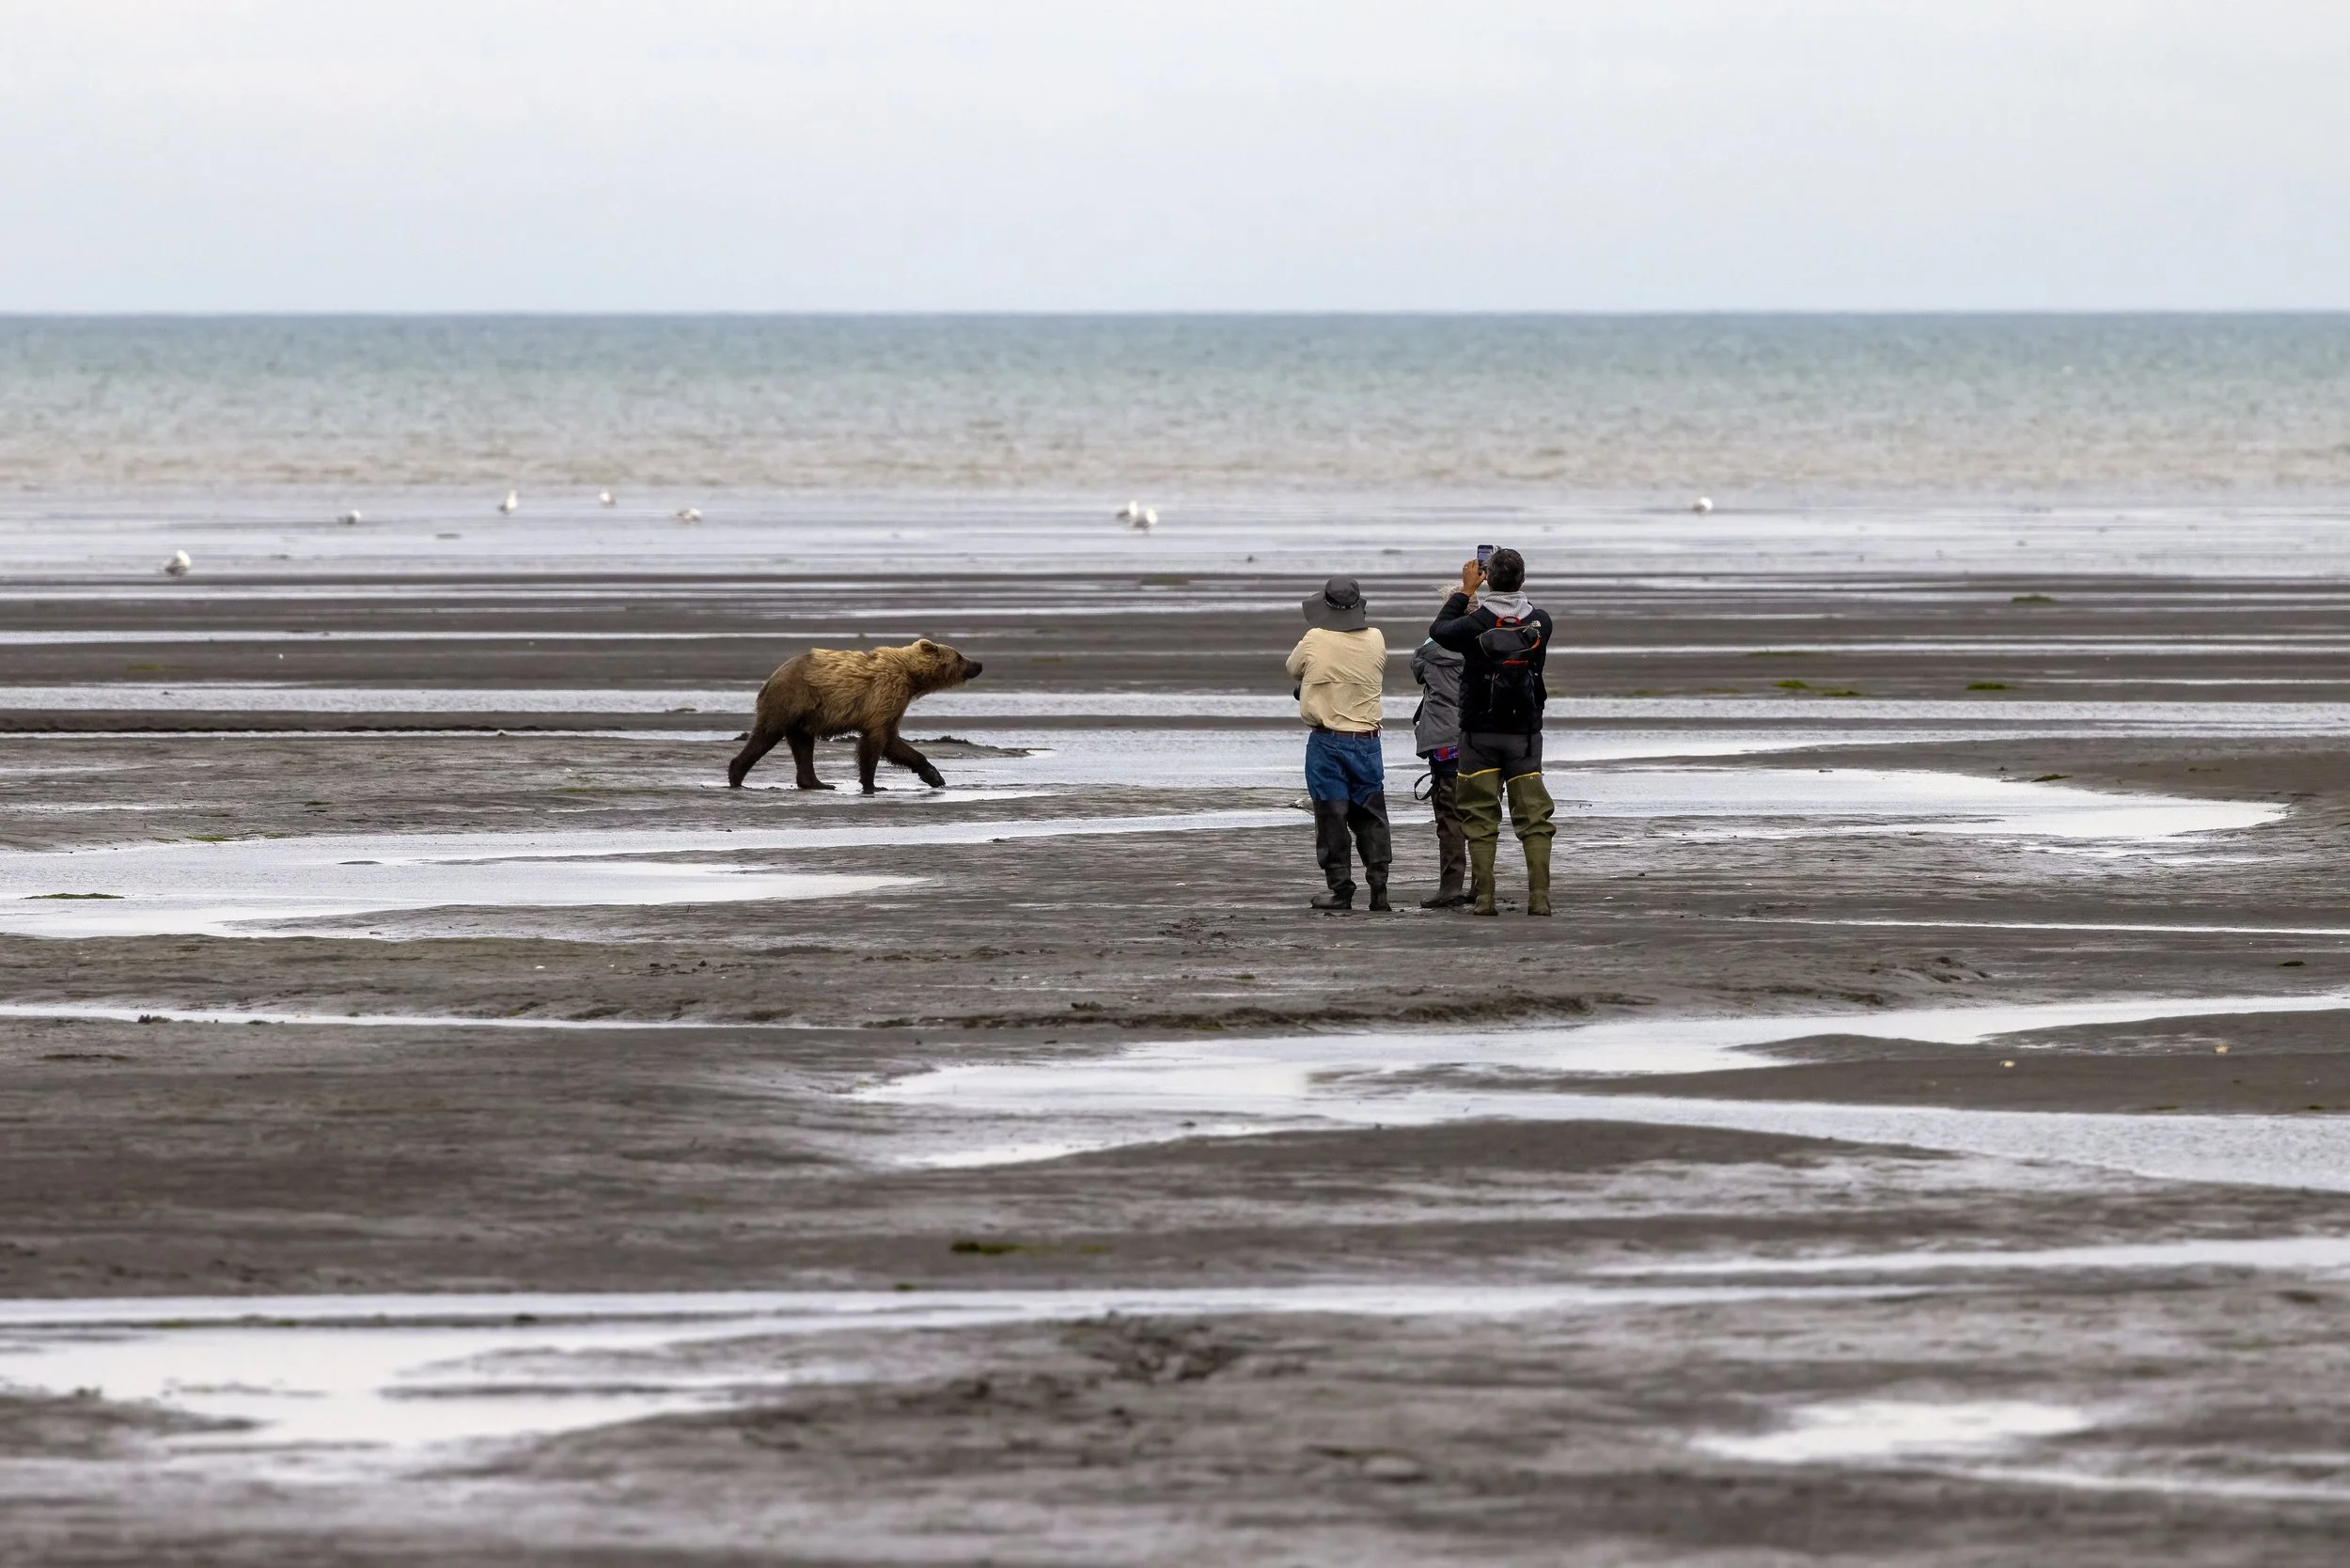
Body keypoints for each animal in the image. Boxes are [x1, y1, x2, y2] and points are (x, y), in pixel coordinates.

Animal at [727, 638, 985, 794]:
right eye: (959, 656)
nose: (979, 664)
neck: (911, 678)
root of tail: (771, 677)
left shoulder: (895, 705)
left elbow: (895, 743)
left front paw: (934, 776)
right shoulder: (884, 694)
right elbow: (876, 741)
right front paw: (872, 784)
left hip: (804, 716)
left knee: (803, 746)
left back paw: (819, 783)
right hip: (791, 699)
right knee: (767, 734)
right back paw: (736, 775)